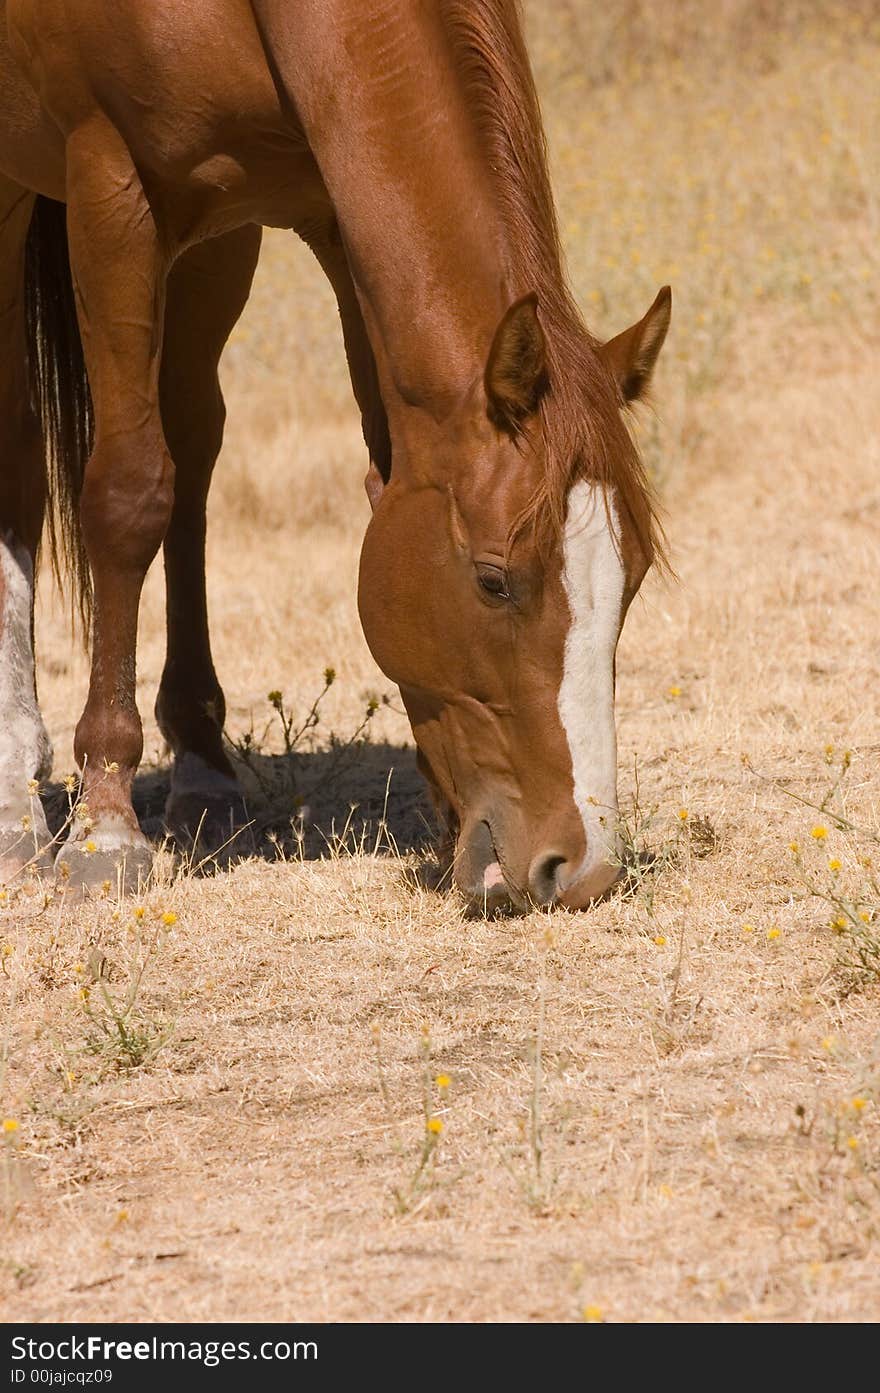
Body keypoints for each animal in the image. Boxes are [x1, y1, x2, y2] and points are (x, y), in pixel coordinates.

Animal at [0, 2, 665, 913]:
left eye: (631, 581)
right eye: (495, 581)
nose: (580, 869)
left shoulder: (326, 207)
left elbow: (377, 455)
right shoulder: (111, 185)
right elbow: (129, 493)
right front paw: (106, 824)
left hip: (217, 239)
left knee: (191, 445)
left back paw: (202, 769)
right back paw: (18, 800)